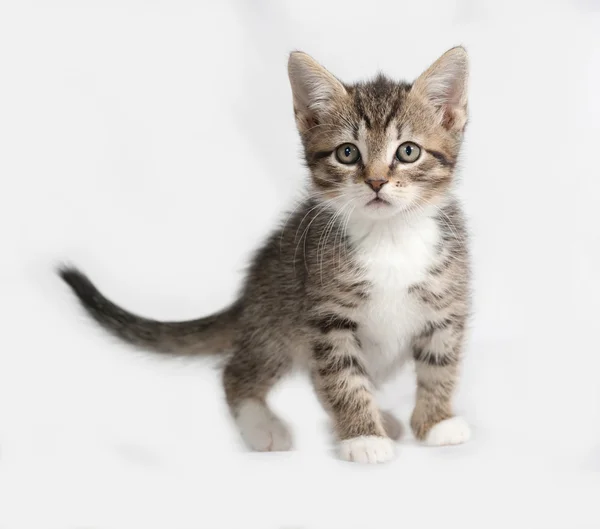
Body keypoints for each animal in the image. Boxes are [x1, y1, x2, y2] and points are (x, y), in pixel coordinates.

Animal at [61, 48, 474, 462]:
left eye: (408, 151)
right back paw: (263, 426)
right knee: (238, 371)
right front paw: (363, 437)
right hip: (278, 319)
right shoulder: (327, 316)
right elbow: (342, 378)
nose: (375, 181)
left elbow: (439, 365)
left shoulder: (445, 307)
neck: (390, 236)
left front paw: (435, 423)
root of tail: (248, 296)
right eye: (347, 153)